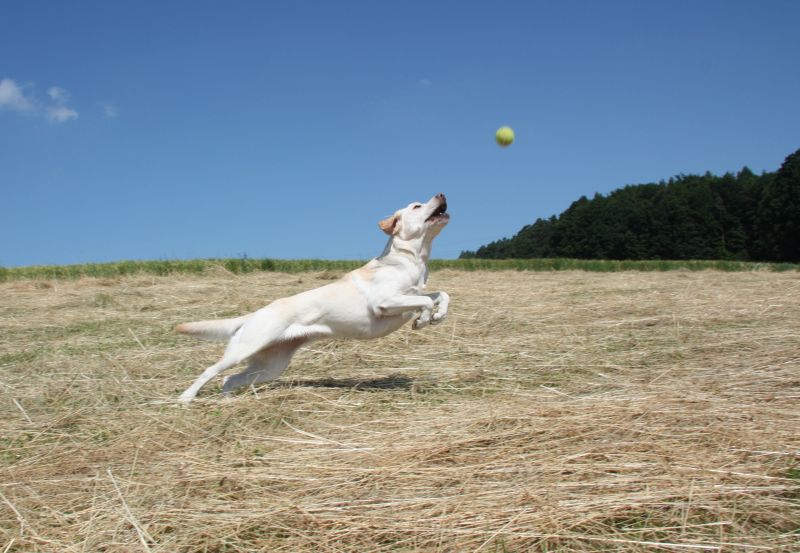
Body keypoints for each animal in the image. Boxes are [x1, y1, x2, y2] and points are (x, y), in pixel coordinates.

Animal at [177, 193, 450, 402]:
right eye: (416, 206)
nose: (441, 194)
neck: (411, 258)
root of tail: (254, 314)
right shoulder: (384, 302)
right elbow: (426, 301)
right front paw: (422, 320)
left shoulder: (413, 294)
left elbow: (441, 294)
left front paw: (437, 316)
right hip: (245, 349)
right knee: (211, 371)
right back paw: (185, 399)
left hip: (270, 365)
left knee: (229, 379)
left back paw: (228, 403)